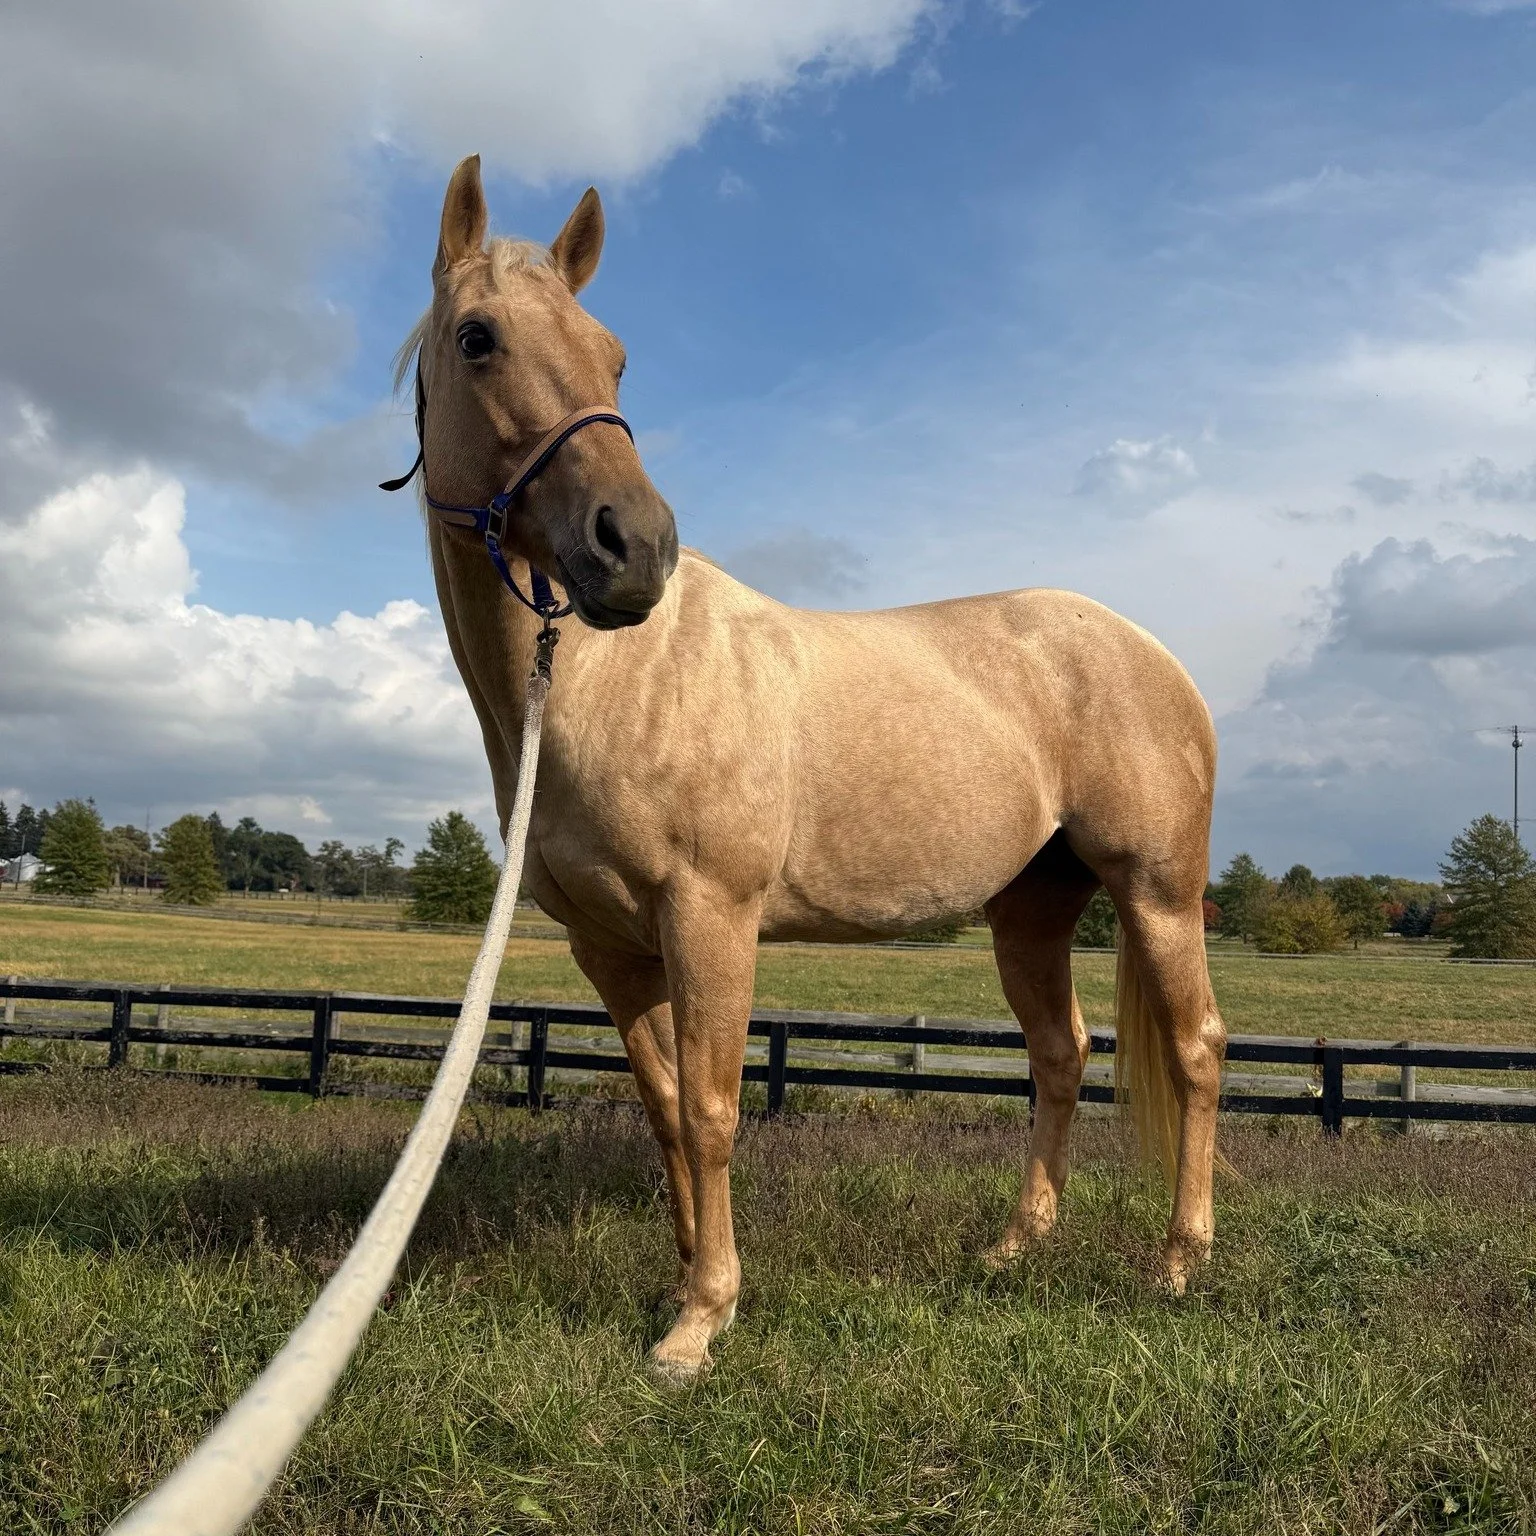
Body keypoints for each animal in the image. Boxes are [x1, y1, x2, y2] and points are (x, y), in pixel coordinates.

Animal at [392, 155, 1228, 1383]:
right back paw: (1013, 1247)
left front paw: (700, 1321)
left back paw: (1177, 1263)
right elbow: (662, 1105)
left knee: (1196, 1050)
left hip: (1158, 892)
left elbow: (713, 1110)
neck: (612, 682)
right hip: (1031, 911)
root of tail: (1157, 655)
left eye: (615, 354)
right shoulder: (613, 950)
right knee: (1061, 1055)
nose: (632, 549)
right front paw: (686, 1283)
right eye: (478, 337)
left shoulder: (711, 917)